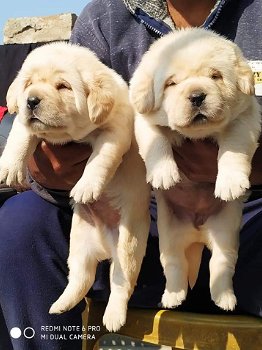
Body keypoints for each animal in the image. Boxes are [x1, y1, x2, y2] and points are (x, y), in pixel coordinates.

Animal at [0, 42, 149, 332]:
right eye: (28, 84)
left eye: (63, 86)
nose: (31, 101)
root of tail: (105, 248)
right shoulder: (26, 125)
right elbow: (19, 139)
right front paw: (9, 167)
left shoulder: (115, 133)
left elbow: (99, 160)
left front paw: (86, 187)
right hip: (79, 245)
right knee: (81, 277)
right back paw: (60, 305)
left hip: (130, 247)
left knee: (121, 284)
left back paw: (113, 317)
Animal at [130, 28, 260, 310]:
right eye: (171, 84)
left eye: (215, 76)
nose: (197, 96)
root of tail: (198, 233)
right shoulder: (144, 122)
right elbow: (157, 141)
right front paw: (163, 174)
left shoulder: (245, 119)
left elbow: (233, 148)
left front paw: (230, 183)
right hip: (169, 237)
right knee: (174, 264)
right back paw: (173, 296)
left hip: (226, 232)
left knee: (221, 264)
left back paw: (224, 298)